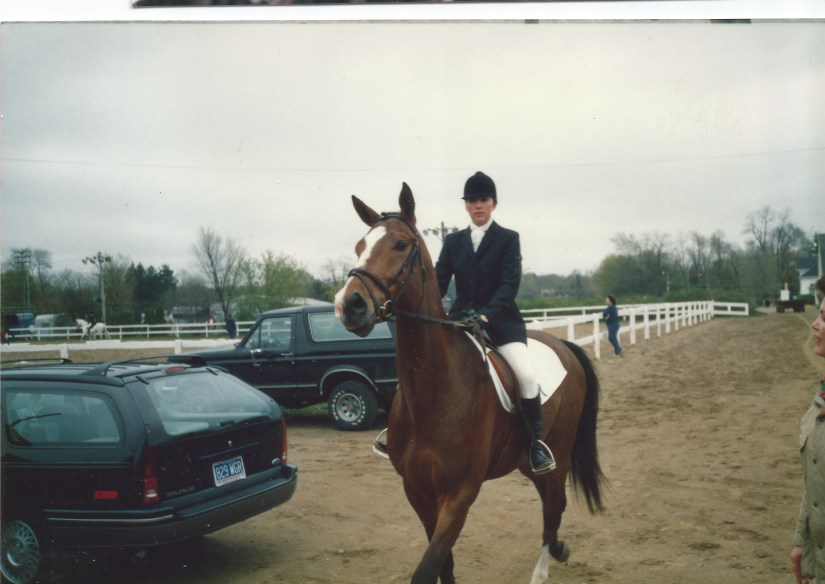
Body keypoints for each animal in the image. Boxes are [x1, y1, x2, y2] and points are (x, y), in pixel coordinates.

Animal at [335, 183, 605, 584]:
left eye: (400, 244)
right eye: (358, 246)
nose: (349, 305)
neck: (432, 392)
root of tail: (562, 345)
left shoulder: (459, 494)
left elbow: (427, 568)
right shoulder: (417, 490)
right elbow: (443, 564)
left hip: (558, 447)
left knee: (553, 505)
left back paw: (543, 569)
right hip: (524, 459)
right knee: (549, 502)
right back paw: (558, 549)